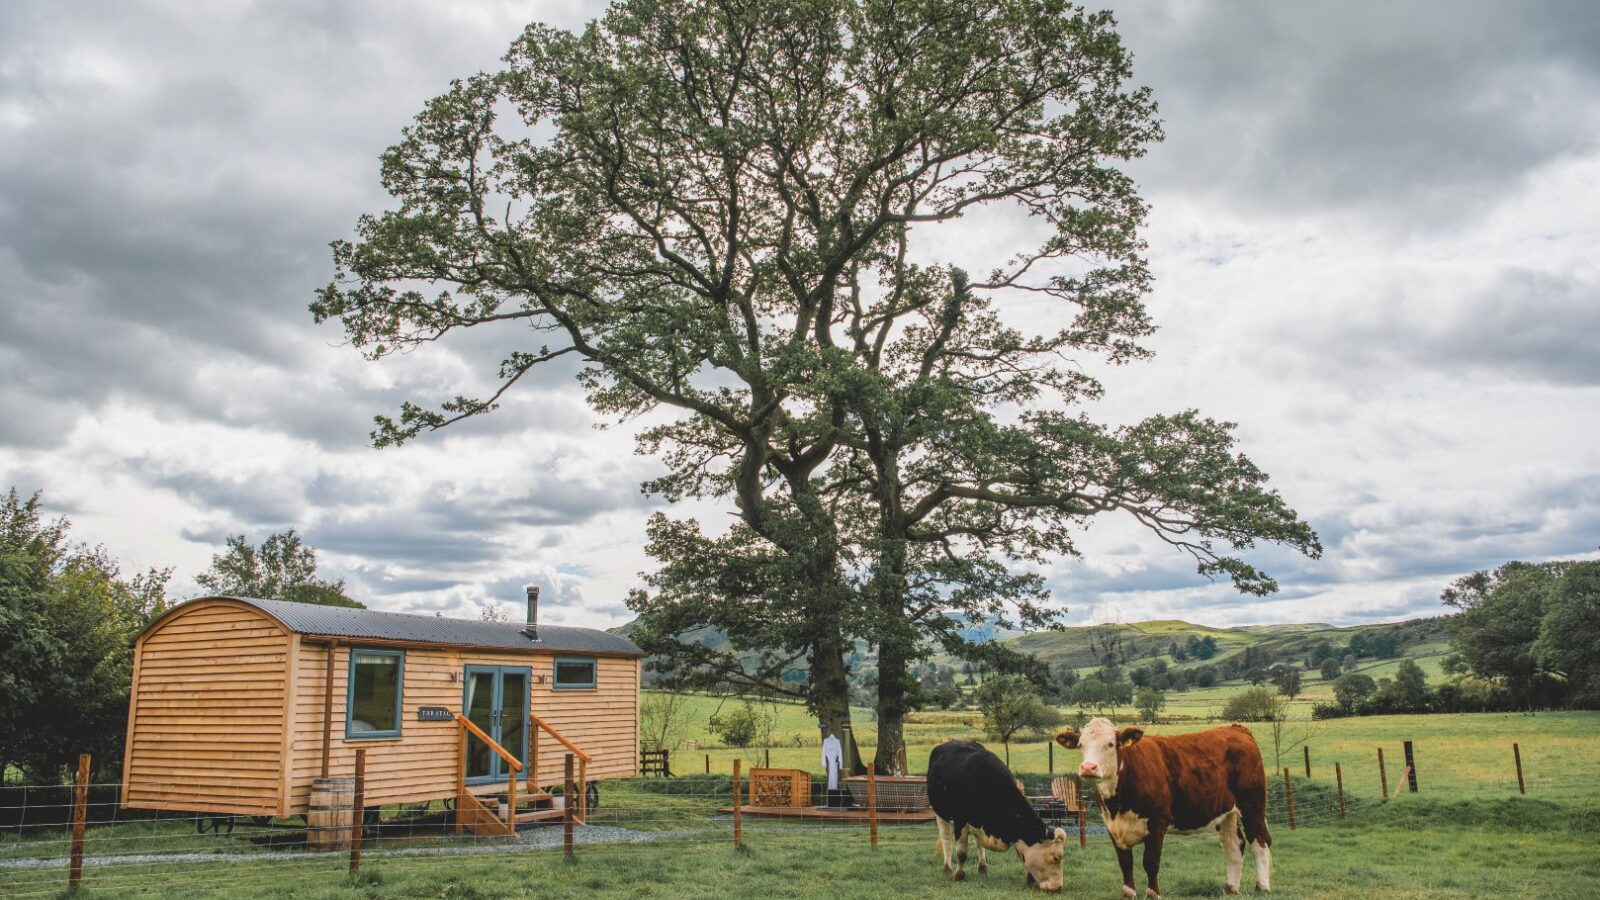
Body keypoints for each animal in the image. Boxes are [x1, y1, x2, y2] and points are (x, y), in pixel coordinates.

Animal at [928, 739, 1062, 883]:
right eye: (1054, 858)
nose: (1058, 886)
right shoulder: (960, 820)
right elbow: (962, 852)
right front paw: (959, 875)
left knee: (979, 843)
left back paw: (982, 867)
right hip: (940, 814)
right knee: (946, 839)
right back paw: (947, 868)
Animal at [1056, 717, 1267, 890]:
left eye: (1110, 744)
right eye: (1081, 744)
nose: (1088, 767)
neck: (1118, 803)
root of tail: (1236, 729)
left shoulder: (1158, 822)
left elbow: (1151, 862)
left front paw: (1153, 893)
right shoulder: (1112, 826)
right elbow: (1125, 864)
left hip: (1252, 804)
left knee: (1260, 841)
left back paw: (1262, 887)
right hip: (1226, 812)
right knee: (1234, 846)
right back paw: (1231, 888)